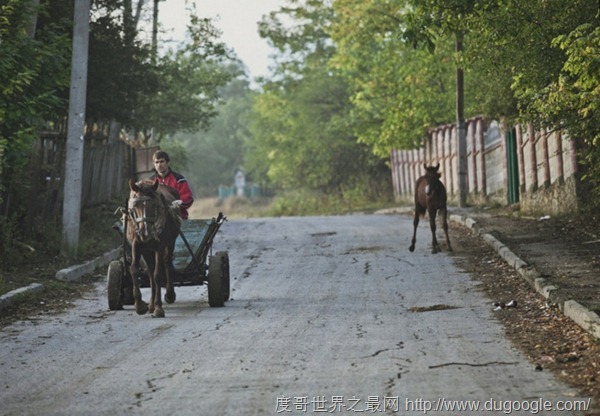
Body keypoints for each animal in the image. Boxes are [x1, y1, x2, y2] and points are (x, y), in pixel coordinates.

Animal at [127, 177, 182, 316]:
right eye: (135, 206)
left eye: (154, 205)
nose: (145, 233)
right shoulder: (136, 244)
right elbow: (134, 270)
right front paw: (140, 305)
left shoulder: (159, 246)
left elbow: (158, 274)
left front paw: (158, 308)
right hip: (147, 250)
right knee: (150, 272)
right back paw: (151, 304)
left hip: (170, 243)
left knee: (166, 263)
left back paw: (169, 294)